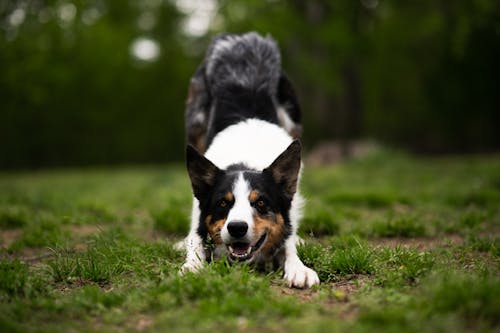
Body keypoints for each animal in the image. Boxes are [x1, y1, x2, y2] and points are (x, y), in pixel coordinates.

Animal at [182, 31, 318, 288]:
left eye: (261, 203)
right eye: (223, 203)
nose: (236, 228)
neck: (243, 159)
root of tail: (242, 37)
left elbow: (288, 243)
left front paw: (299, 268)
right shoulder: (198, 217)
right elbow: (195, 242)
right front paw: (192, 267)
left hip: (293, 119)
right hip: (195, 122)